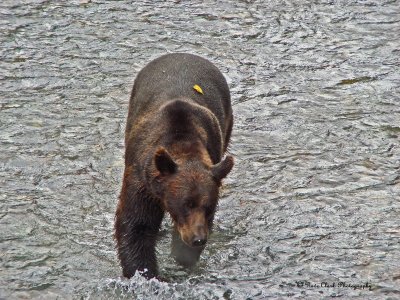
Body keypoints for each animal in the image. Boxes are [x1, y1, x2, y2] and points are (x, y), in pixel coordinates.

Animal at [115, 52, 234, 278]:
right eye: (186, 203)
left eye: (209, 206)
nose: (198, 239)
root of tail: (183, 54)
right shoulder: (141, 179)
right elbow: (136, 225)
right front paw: (143, 271)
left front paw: (182, 255)